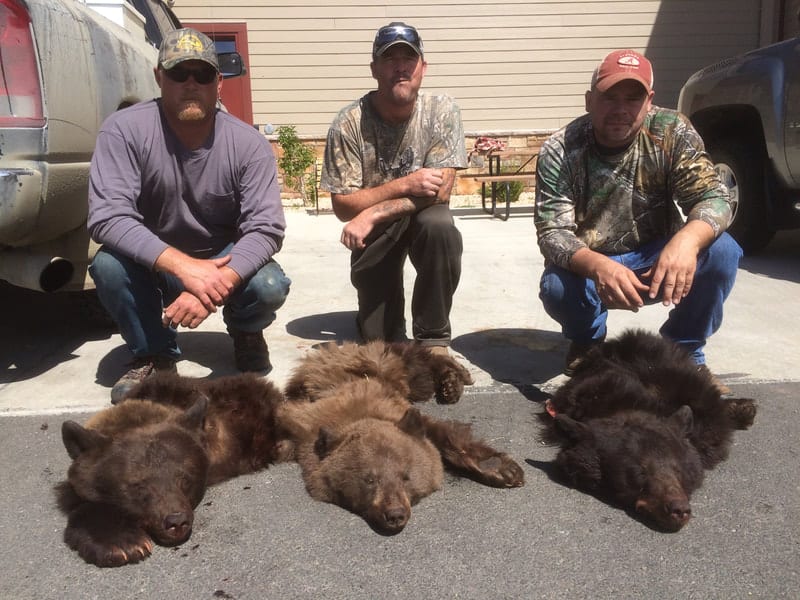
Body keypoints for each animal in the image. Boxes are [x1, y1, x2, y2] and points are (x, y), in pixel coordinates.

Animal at [278, 341, 524, 534]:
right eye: (369, 480)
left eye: (406, 476)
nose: (395, 513)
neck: (356, 417)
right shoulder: (299, 433)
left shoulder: (399, 414)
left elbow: (445, 436)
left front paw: (502, 469)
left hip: (386, 363)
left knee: (418, 361)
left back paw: (455, 378)